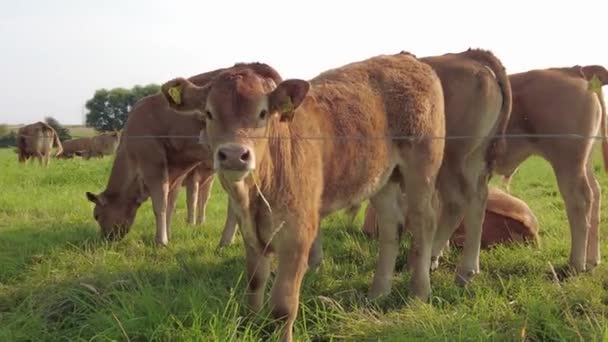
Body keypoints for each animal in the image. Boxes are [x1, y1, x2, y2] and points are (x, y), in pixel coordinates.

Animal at [83, 63, 278, 246]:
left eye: (96, 215)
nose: (106, 238)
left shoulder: (153, 165)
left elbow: (160, 204)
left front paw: (161, 241)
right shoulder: (175, 170)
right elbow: (171, 202)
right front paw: (168, 235)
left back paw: (227, 242)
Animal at [162, 52, 446, 340]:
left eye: (262, 113)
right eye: (209, 113)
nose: (233, 154)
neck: (255, 196)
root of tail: (406, 58)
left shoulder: (297, 236)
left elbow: (283, 306)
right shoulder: (252, 235)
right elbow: (254, 283)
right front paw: (251, 325)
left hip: (421, 170)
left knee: (424, 224)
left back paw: (419, 293)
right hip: (382, 180)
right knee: (391, 227)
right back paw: (377, 294)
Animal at [494, 64, 608, 272]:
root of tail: (573, 69)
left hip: (567, 162)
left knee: (579, 200)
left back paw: (576, 264)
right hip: (583, 162)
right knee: (595, 193)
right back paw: (592, 260)